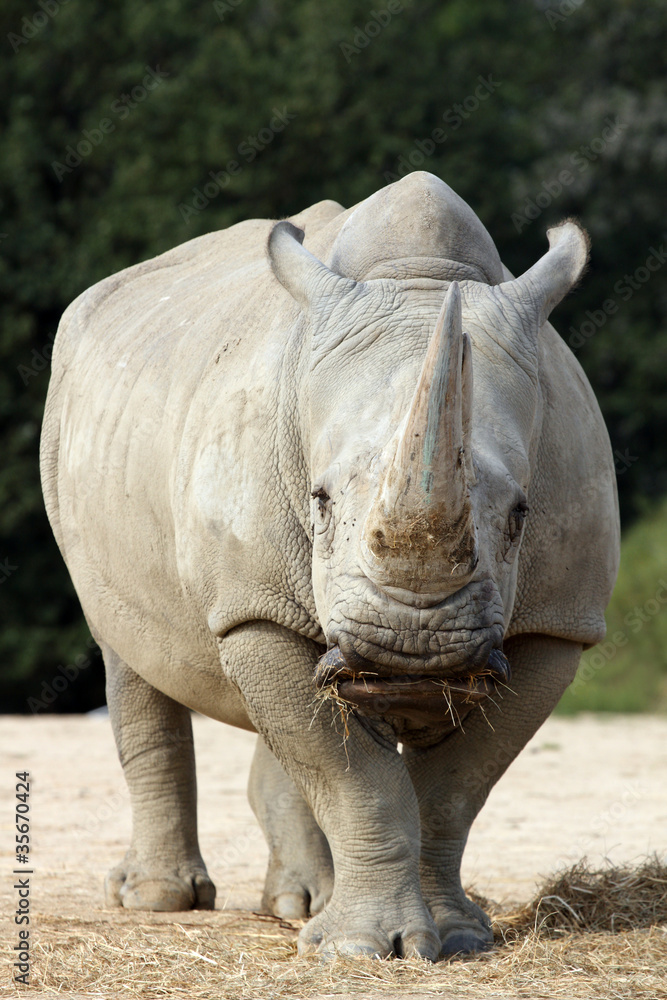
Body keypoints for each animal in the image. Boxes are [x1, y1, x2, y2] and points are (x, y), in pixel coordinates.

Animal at [40, 172, 619, 960]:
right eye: (320, 501)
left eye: (520, 516)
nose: (411, 653)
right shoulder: (252, 604)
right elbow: (354, 777)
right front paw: (361, 949)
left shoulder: (555, 624)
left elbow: (453, 786)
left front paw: (458, 937)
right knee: (128, 647)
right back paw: (160, 900)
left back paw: (297, 903)